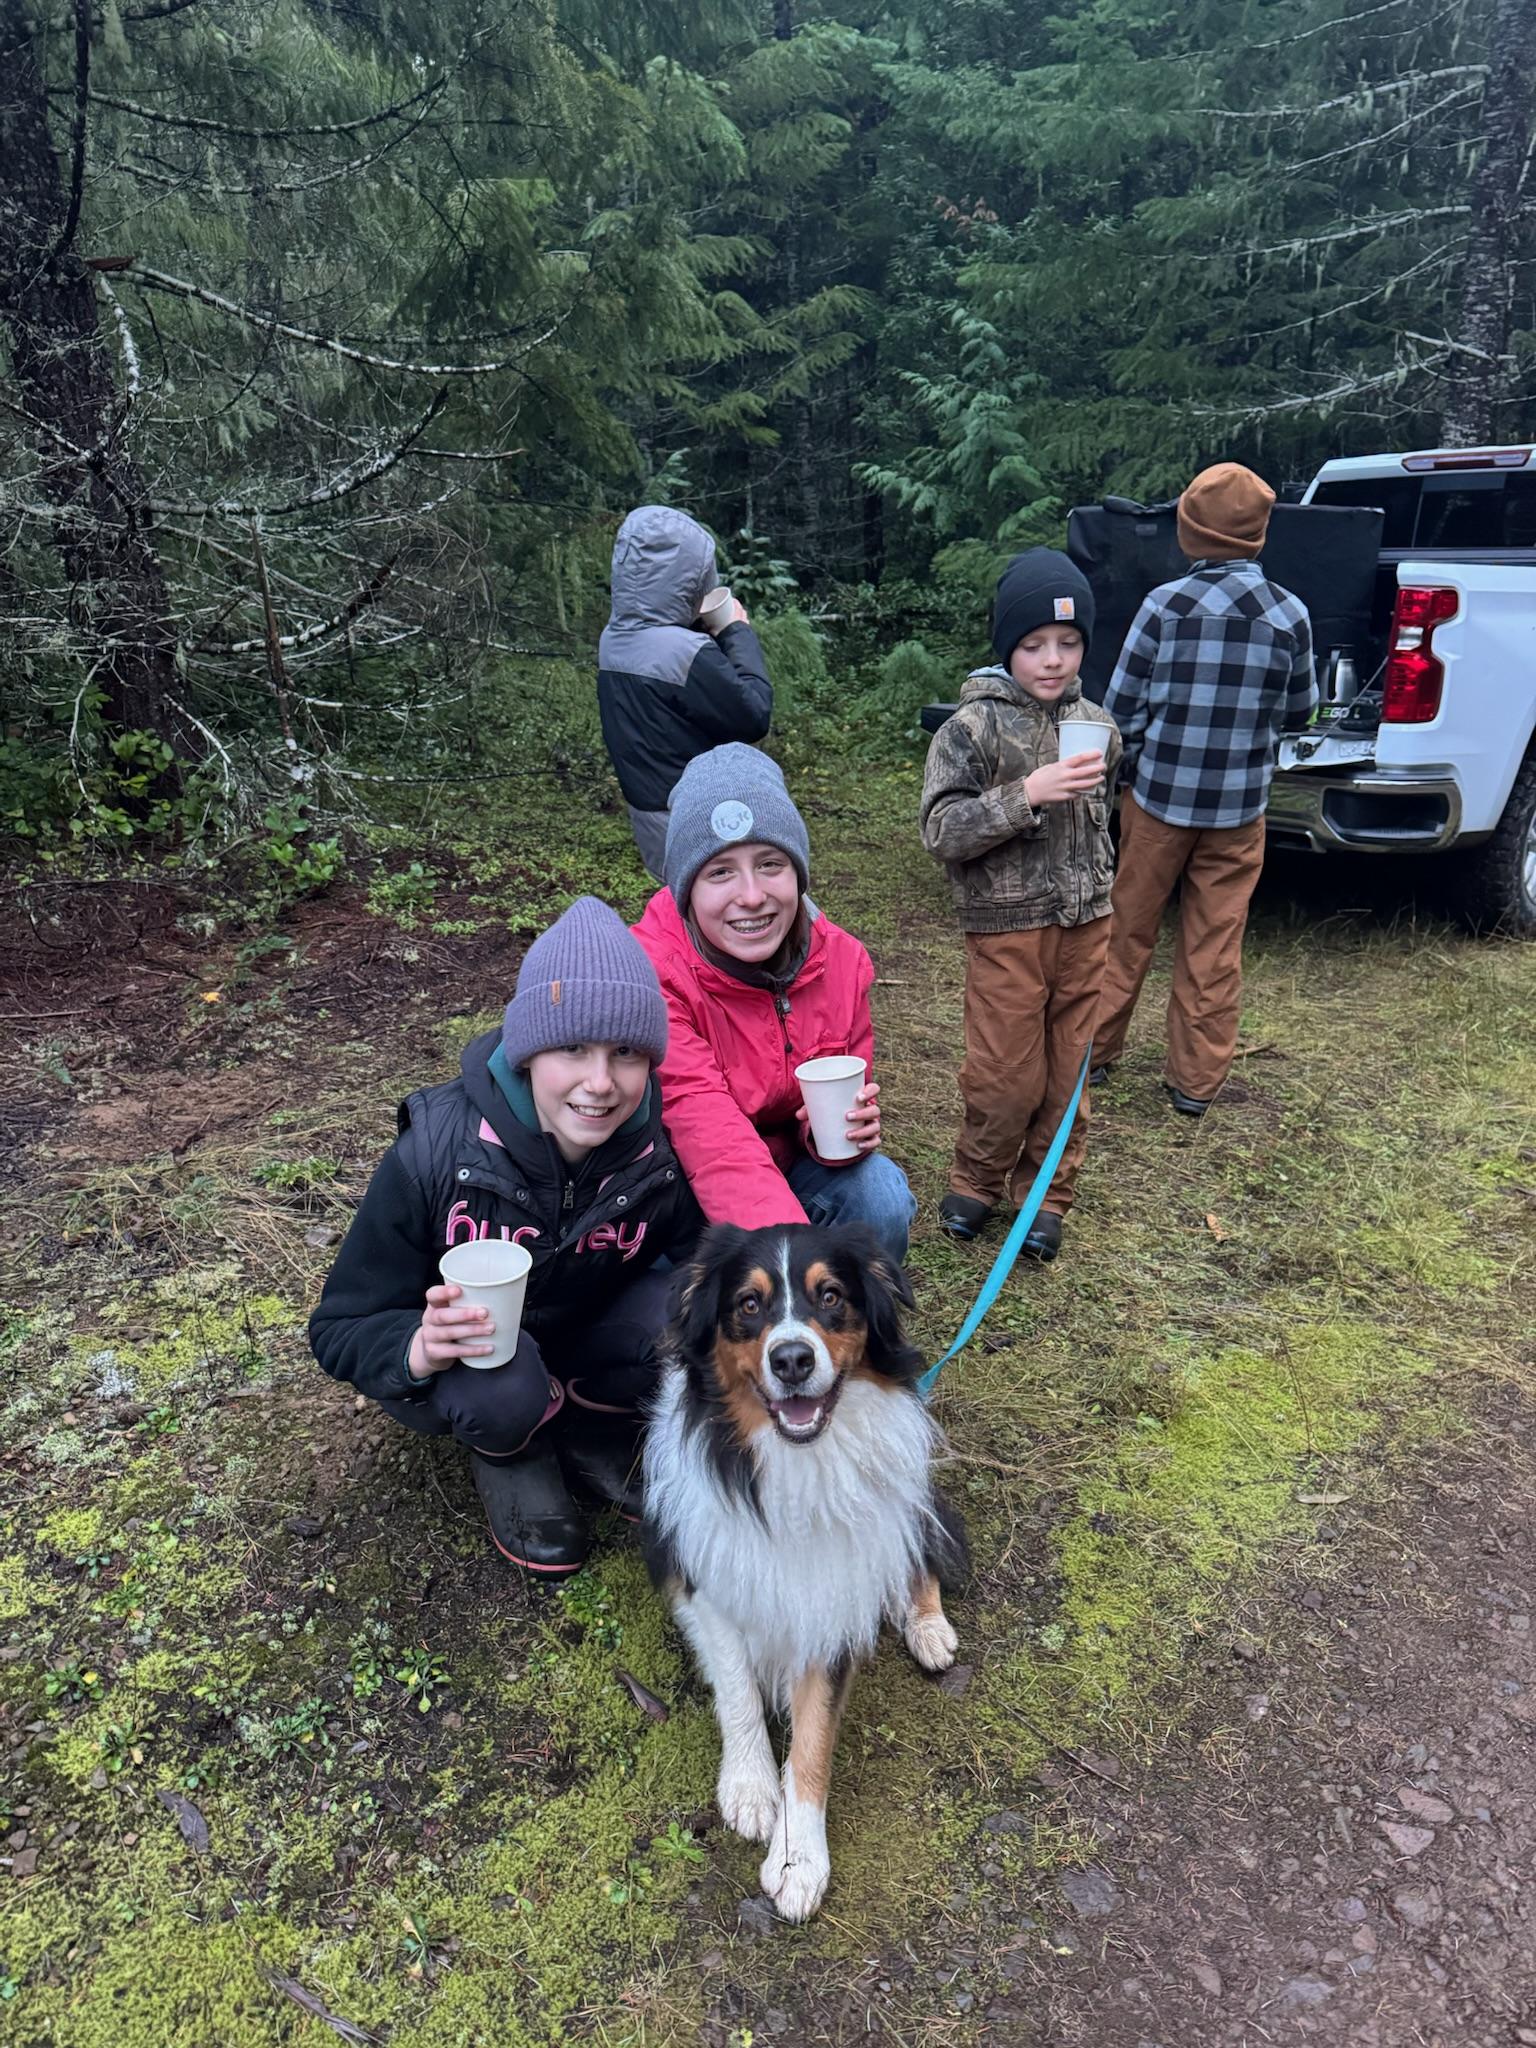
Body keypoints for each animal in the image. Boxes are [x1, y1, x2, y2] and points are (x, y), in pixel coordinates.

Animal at [642, 1221, 967, 1922]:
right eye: (748, 1304)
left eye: (831, 1295)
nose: (792, 1359)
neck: (798, 1466)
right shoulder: (712, 1582)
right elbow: (738, 1691)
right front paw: (750, 1787)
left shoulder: (830, 1601)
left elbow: (813, 1740)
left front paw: (799, 1860)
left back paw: (927, 1624)